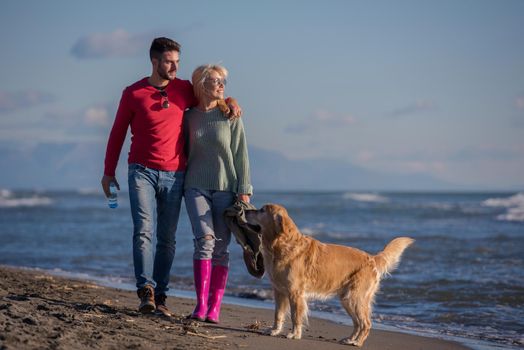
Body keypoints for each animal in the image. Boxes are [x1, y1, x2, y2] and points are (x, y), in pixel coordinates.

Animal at [246, 204, 414, 346]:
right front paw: (274, 330)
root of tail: (371, 258)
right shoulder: (279, 291)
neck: (281, 245)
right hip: (347, 299)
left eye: (262, 210)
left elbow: (295, 316)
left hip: (355, 297)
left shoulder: (295, 293)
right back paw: (349, 339)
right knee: (357, 323)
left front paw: (294, 334)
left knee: (366, 323)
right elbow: (278, 314)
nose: (246, 210)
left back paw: (357, 342)